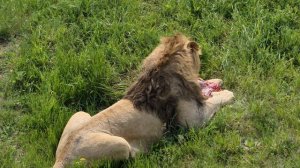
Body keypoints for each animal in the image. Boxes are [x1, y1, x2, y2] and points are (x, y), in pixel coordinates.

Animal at [53, 34, 234, 168]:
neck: (161, 67)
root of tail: (61, 159)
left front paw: (215, 82)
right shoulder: (191, 121)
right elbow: (214, 102)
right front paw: (227, 93)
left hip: (80, 114)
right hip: (120, 144)